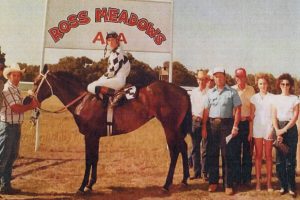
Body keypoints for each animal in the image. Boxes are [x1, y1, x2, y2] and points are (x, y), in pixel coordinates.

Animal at [32, 67, 192, 194]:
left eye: (36, 82)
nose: (29, 99)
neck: (83, 101)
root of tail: (183, 91)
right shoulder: (95, 137)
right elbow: (95, 158)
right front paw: (90, 184)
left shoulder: (89, 136)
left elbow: (88, 160)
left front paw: (82, 186)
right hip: (176, 128)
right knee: (183, 147)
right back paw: (184, 180)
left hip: (169, 127)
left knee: (174, 152)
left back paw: (166, 184)